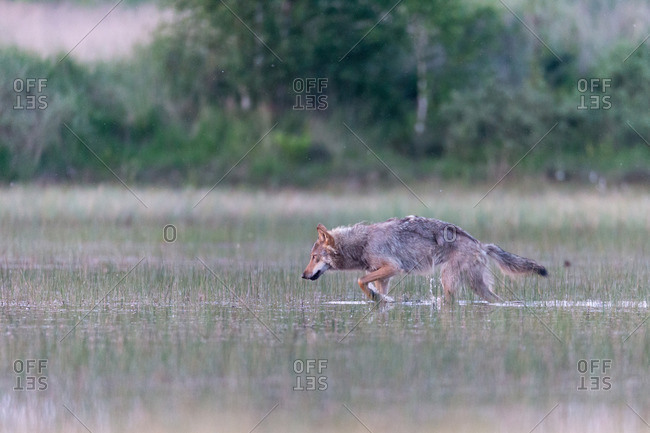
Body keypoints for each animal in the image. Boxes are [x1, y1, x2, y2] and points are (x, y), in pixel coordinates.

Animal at [301, 216, 547, 302]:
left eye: (314, 257)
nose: (303, 276)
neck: (362, 243)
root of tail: (481, 245)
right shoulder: (383, 277)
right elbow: (372, 287)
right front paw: (379, 299)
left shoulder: (394, 268)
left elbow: (360, 280)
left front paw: (373, 297)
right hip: (473, 285)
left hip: (448, 280)